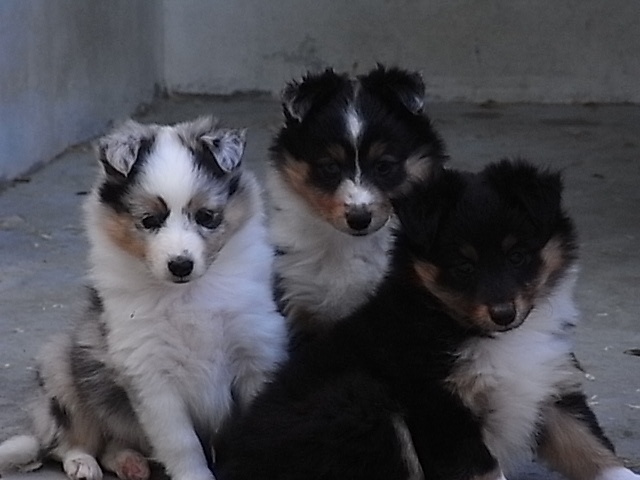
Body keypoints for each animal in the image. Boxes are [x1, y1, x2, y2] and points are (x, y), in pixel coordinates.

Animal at [0, 116, 288, 480]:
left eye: (206, 217)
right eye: (149, 221)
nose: (180, 265)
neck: (187, 294)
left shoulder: (256, 354)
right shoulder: (150, 375)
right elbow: (182, 443)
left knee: (112, 445)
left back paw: (130, 463)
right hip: (62, 366)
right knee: (69, 440)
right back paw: (83, 463)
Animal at [216, 159, 640, 478]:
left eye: (517, 255)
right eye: (463, 266)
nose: (504, 314)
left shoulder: (552, 389)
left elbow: (595, 451)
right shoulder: (442, 412)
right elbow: (484, 470)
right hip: (361, 401)